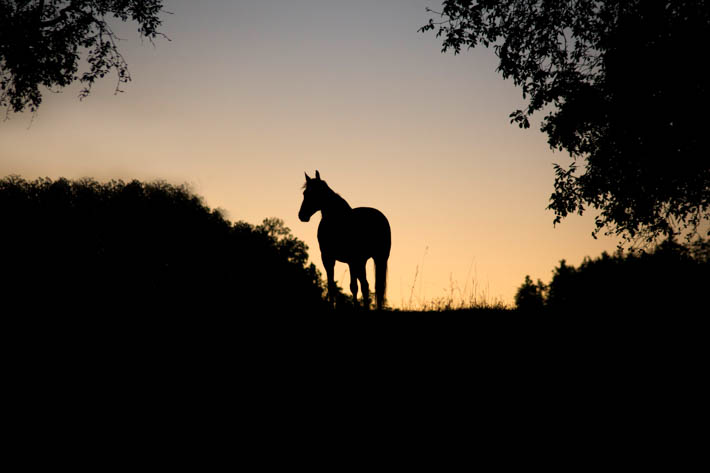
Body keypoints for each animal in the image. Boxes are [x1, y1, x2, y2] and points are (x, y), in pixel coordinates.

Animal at [298, 171, 391, 310]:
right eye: (305, 193)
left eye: (316, 192)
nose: (302, 215)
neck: (337, 220)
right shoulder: (333, 259)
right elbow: (333, 286)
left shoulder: (340, 259)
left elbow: (351, 286)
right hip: (368, 260)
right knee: (370, 286)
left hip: (369, 259)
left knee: (369, 286)